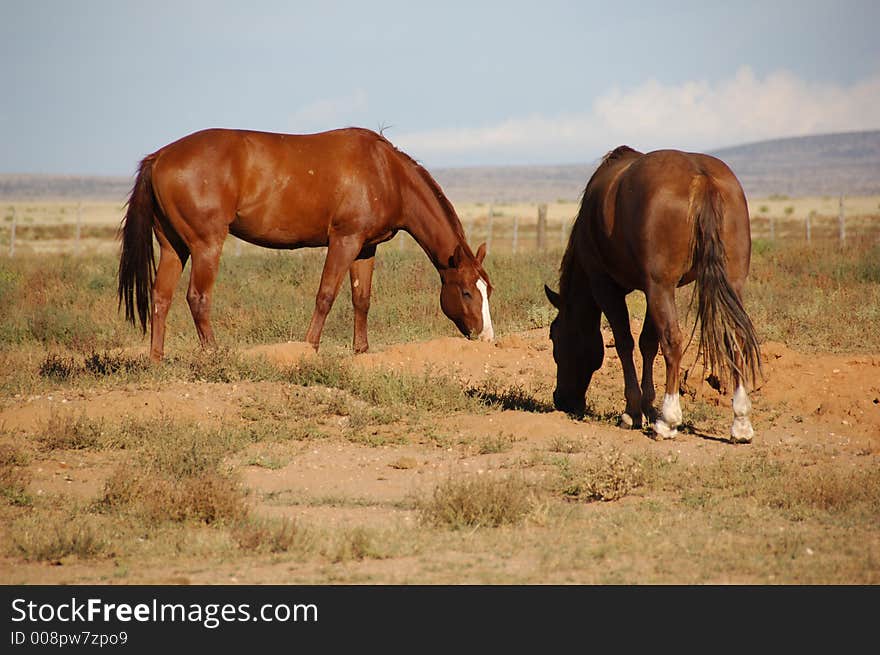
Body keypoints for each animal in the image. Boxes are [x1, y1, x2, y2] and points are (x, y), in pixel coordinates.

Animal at [115, 125, 496, 362]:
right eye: (466, 292)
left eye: (487, 290)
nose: (486, 338)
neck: (386, 172)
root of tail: (160, 156)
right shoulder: (344, 240)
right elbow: (326, 295)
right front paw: (309, 348)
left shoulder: (366, 247)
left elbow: (362, 299)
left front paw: (361, 351)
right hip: (205, 244)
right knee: (198, 298)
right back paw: (213, 355)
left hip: (173, 246)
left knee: (161, 298)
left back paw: (157, 359)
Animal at [544, 146, 764, 444]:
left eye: (555, 336)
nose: (561, 400)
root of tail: (702, 178)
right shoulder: (652, 291)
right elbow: (648, 343)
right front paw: (647, 406)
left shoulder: (606, 286)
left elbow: (625, 342)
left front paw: (633, 411)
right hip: (729, 282)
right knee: (737, 337)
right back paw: (740, 422)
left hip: (662, 287)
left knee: (673, 341)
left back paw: (668, 420)